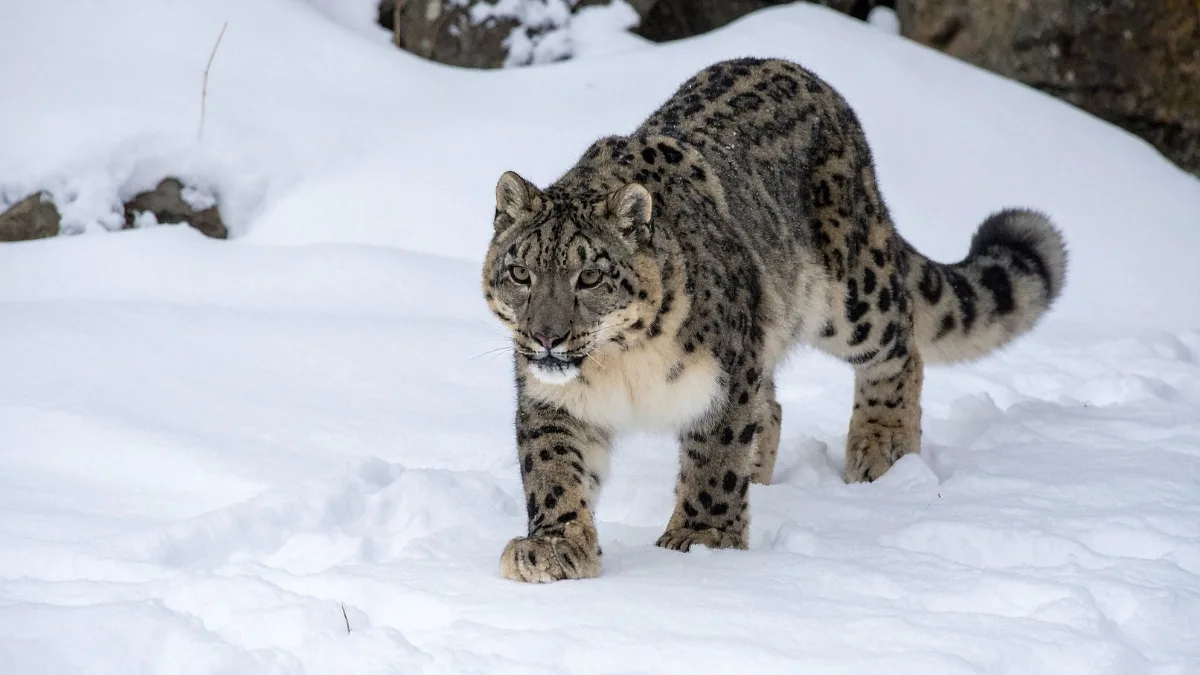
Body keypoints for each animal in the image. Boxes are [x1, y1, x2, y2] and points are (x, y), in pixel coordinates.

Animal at [480, 57, 1067, 583]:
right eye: (520, 272)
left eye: (590, 277)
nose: (546, 337)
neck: (621, 366)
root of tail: (812, 80)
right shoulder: (553, 399)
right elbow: (553, 468)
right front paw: (552, 548)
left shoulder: (726, 377)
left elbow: (714, 459)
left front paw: (701, 540)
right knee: (775, 406)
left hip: (852, 296)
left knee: (900, 349)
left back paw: (881, 451)